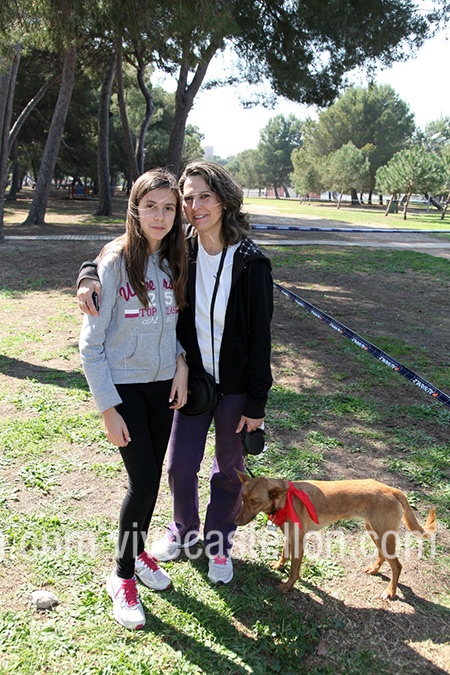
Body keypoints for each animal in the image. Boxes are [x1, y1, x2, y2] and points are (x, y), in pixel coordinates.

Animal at [234, 470, 437, 599]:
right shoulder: (289, 536)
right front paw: (278, 566)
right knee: (383, 556)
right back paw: (374, 569)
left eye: (255, 501)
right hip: (376, 533)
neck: (285, 499)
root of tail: (393, 490)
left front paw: (287, 586)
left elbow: (294, 570)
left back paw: (390, 592)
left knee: (397, 566)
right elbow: (284, 554)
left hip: (382, 535)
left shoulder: (298, 541)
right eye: (242, 498)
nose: (235, 521)